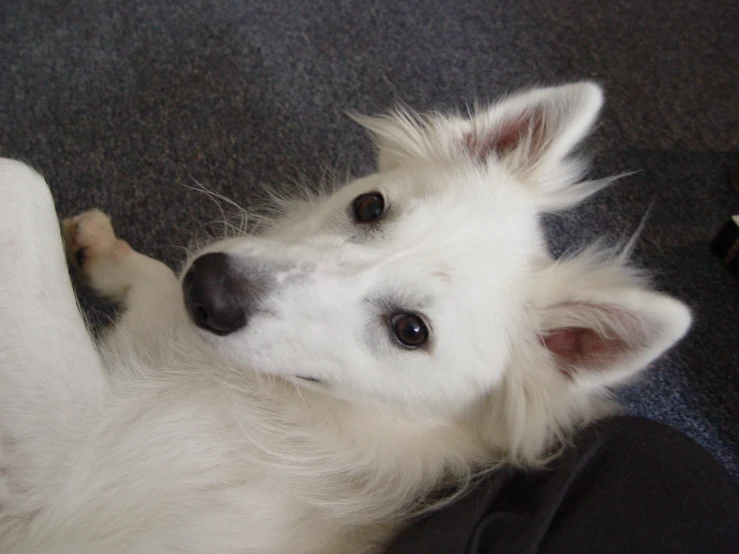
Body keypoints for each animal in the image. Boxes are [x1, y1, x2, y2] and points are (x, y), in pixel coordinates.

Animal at [0, 83, 692, 552]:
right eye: (369, 206)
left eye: (410, 331)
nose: (209, 289)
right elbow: (155, 276)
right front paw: (105, 251)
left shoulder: (69, 473)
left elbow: (23, 179)